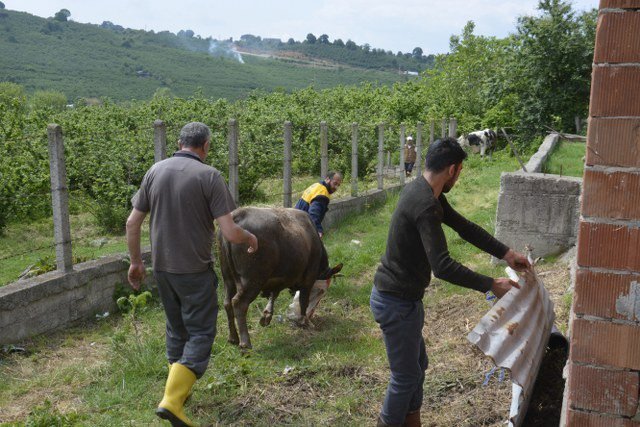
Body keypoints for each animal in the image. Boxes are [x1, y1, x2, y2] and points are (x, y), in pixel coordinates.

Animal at [218, 207, 342, 352]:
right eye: (321, 291)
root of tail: (238, 213)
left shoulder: (280, 278)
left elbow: (274, 294)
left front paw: (266, 316)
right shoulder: (309, 278)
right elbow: (303, 300)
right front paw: (304, 320)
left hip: (228, 278)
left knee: (227, 303)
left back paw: (233, 338)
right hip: (251, 280)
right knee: (239, 303)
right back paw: (245, 343)